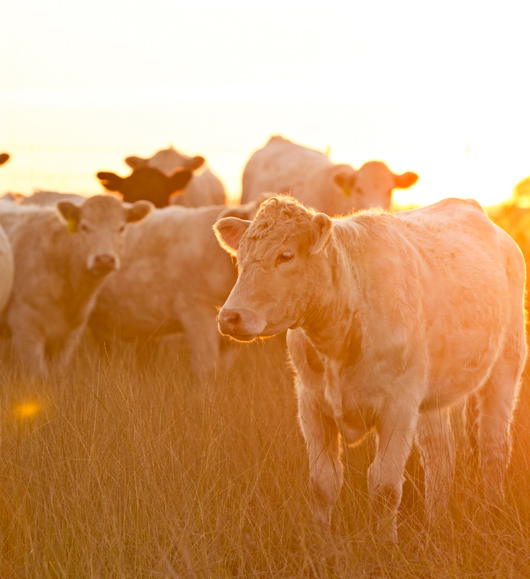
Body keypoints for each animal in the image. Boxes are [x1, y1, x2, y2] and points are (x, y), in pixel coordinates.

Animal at [213, 196, 524, 544]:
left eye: (286, 255)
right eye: (240, 257)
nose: (230, 317)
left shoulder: (398, 406)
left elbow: (384, 486)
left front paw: (386, 545)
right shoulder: (311, 403)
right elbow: (323, 483)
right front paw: (322, 543)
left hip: (506, 365)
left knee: (493, 449)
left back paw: (492, 514)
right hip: (431, 397)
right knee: (440, 458)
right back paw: (436, 525)